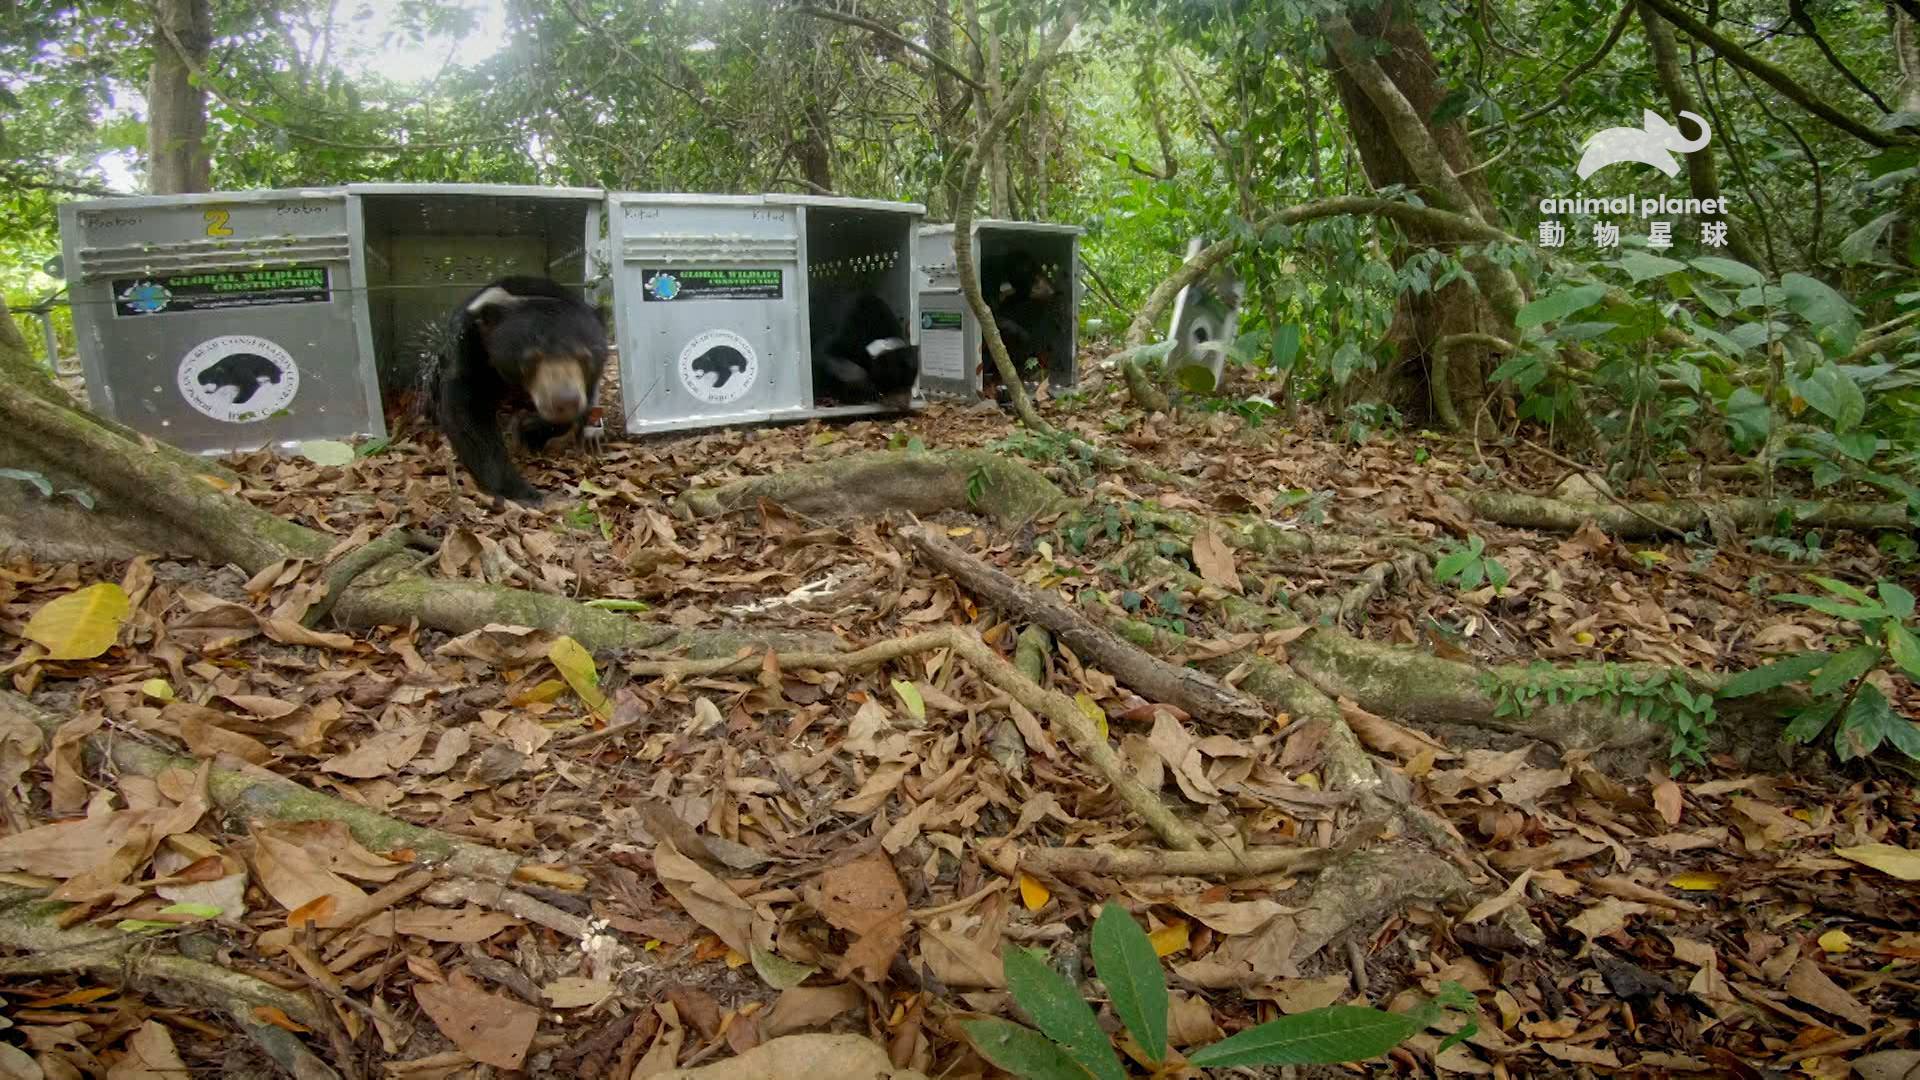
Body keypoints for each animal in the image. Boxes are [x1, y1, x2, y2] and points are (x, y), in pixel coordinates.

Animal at [432, 275, 609, 507]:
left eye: (585, 357)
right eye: (531, 358)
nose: (565, 402)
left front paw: (528, 428)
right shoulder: (469, 353)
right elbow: (467, 416)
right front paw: (525, 493)